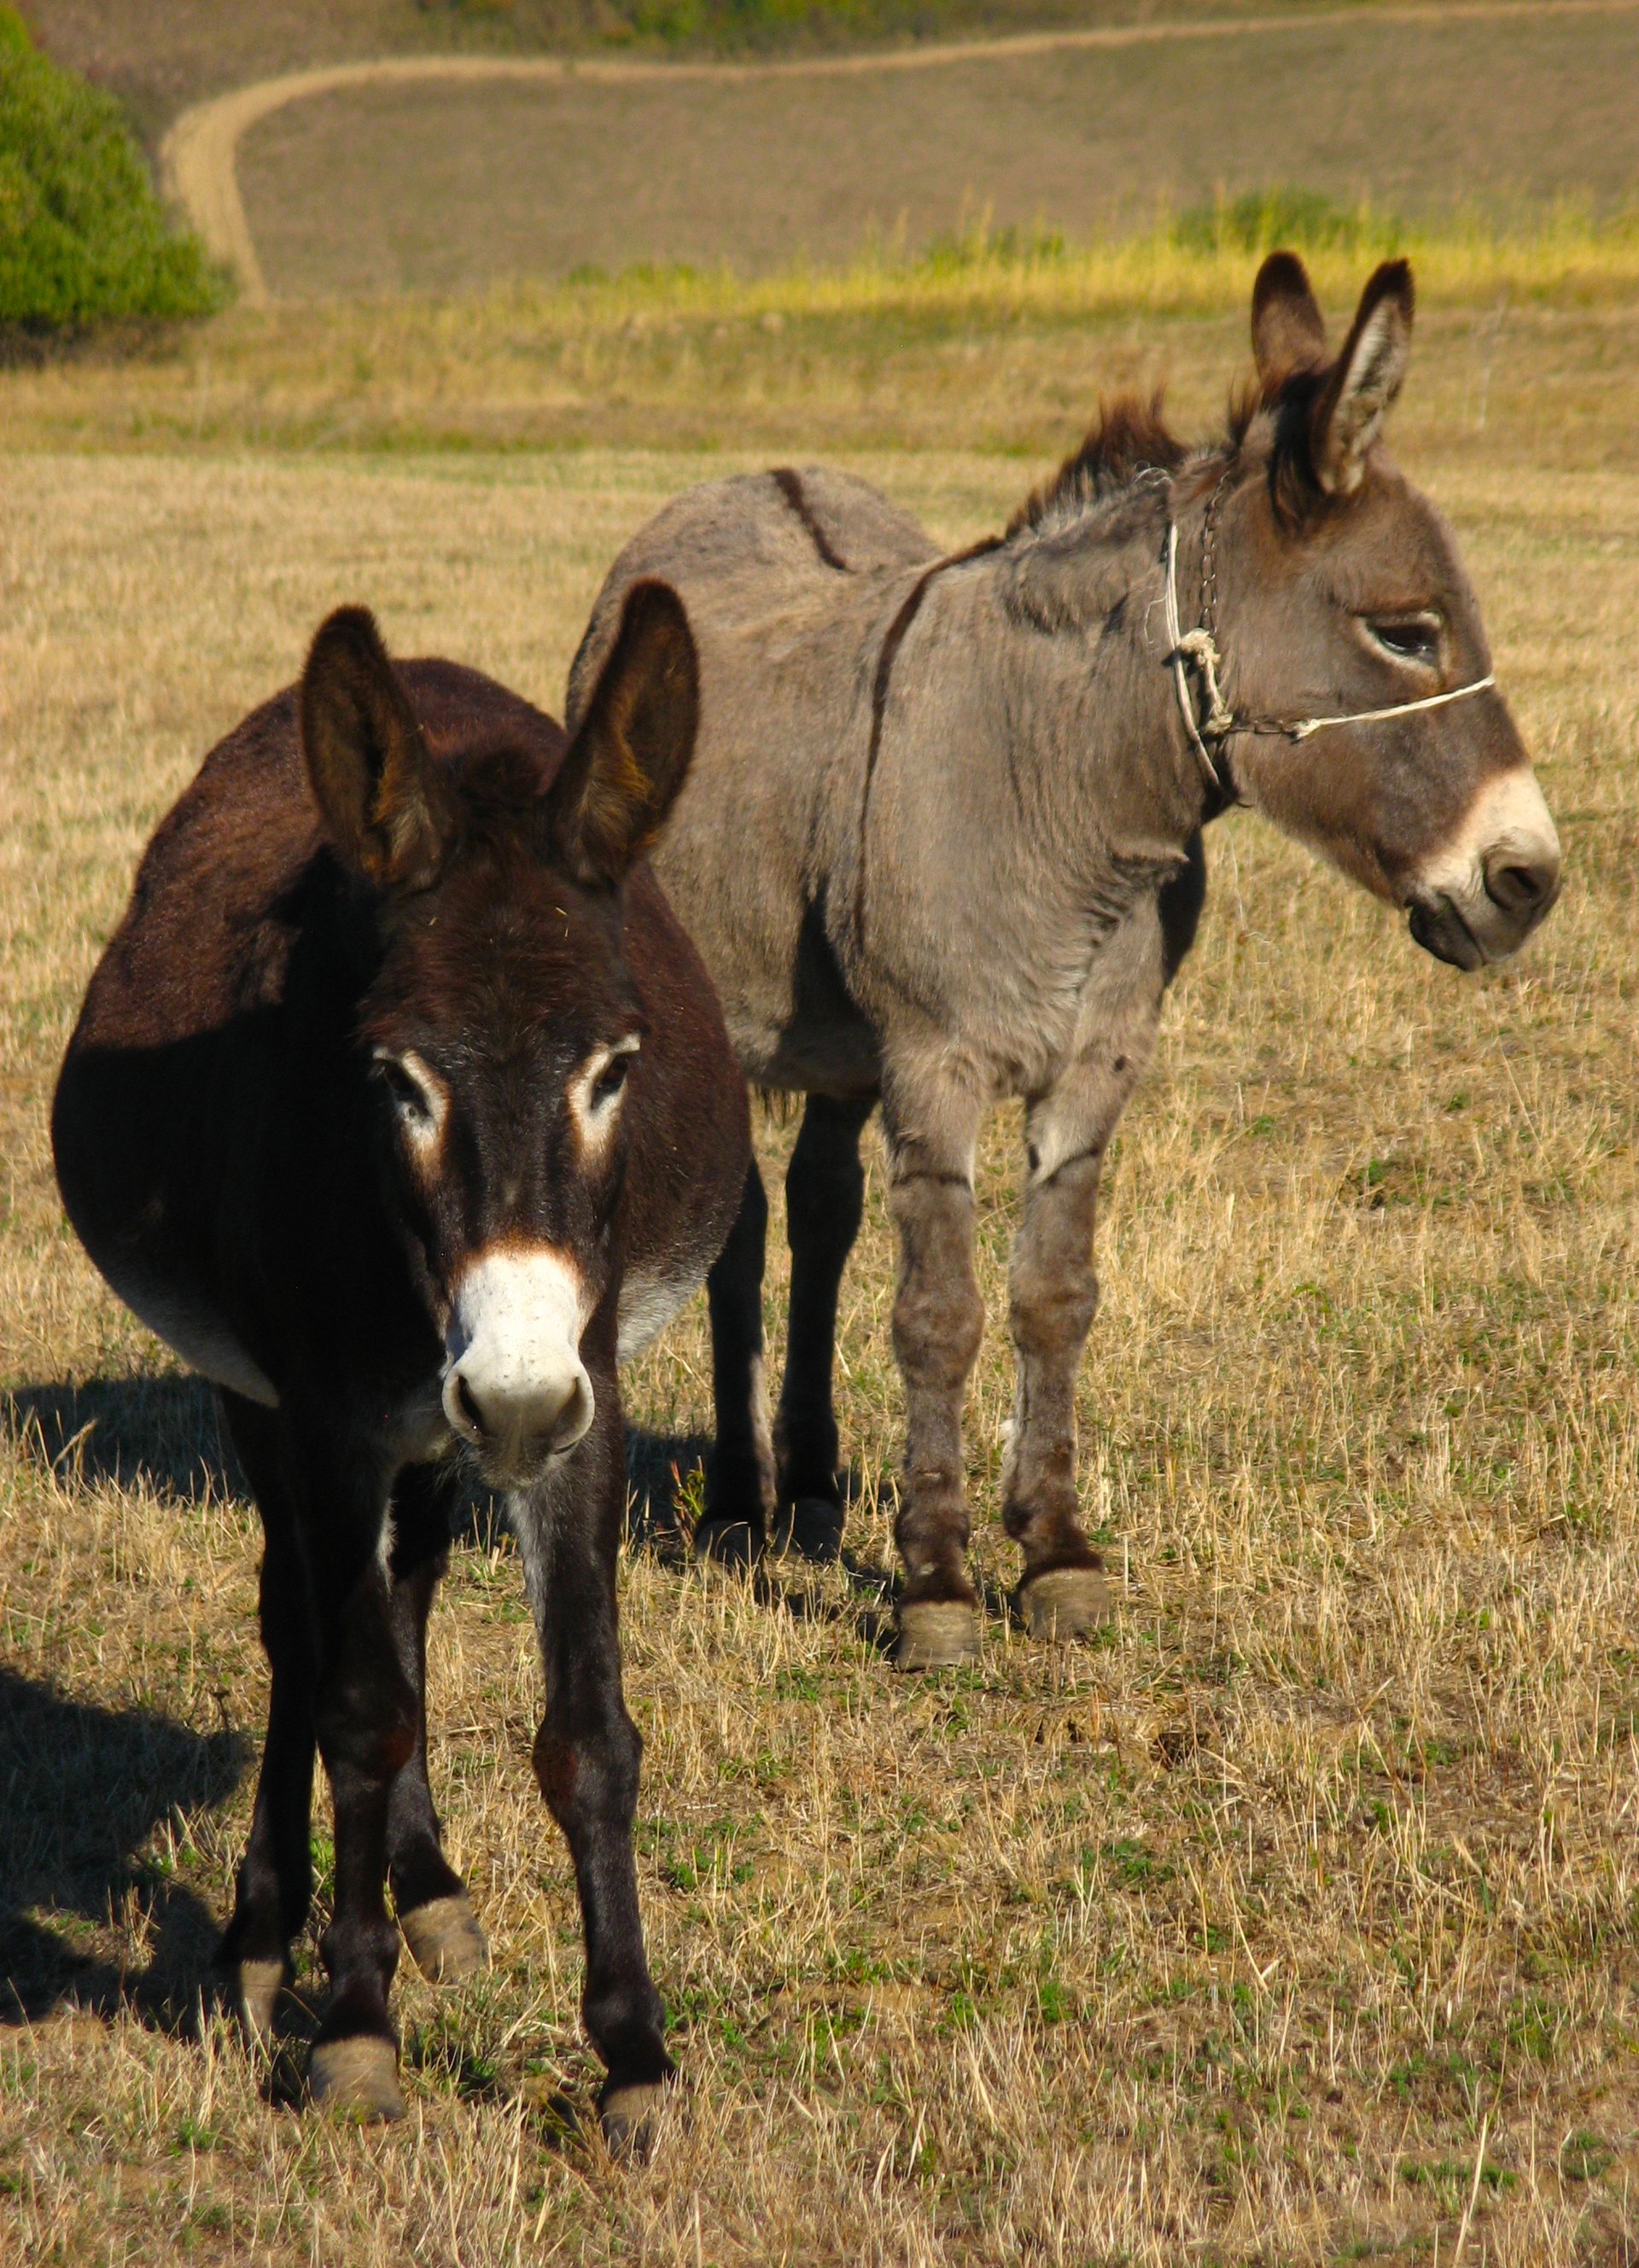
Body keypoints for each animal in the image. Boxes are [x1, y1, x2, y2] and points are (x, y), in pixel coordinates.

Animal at [52, 584, 749, 2142]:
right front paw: (354, 2024)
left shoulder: (585, 1403)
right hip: (275, 1402)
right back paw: (266, 1933)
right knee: (300, 1627)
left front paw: (633, 2052)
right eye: (397, 1077)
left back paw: (426, 1888)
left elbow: (588, 1730)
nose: (512, 1392)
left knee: (410, 1585)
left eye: (617, 1066)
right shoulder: (325, 1416)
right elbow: (358, 1708)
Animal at [566, 252, 1562, 1672]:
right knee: (746, 1229)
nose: (1530, 880)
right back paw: (747, 1504)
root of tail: (750, 473)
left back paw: (807, 1487)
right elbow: (939, 1315)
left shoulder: (1094, 1070)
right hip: (723, 1014)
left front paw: (1053, 1552)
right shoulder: (934, 1067)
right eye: (1407, 632)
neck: (1066, 787)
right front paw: (933, 1582)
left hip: (835, 1050)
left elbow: (1054, 1297)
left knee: (818, 1210)